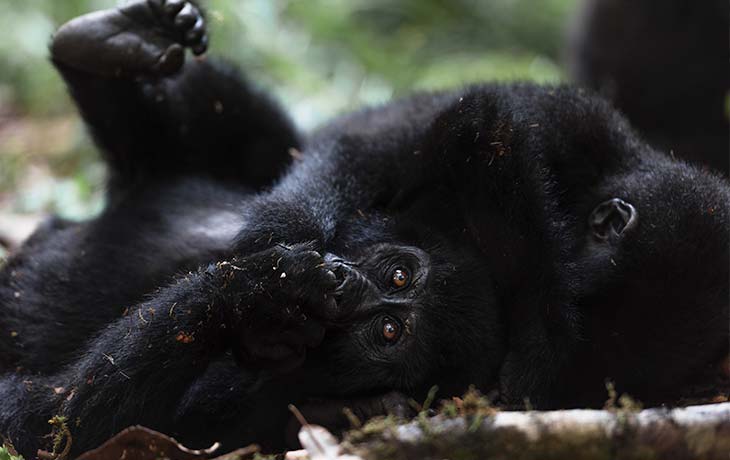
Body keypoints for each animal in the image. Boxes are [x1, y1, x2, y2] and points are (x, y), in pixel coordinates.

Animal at [1, 0, 728, 456]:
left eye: (389, 332)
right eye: (398, 275)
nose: (351, 292)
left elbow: (53, 418)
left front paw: (253, 295)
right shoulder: (576, 124)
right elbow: (420, 130)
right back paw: (111, 47)